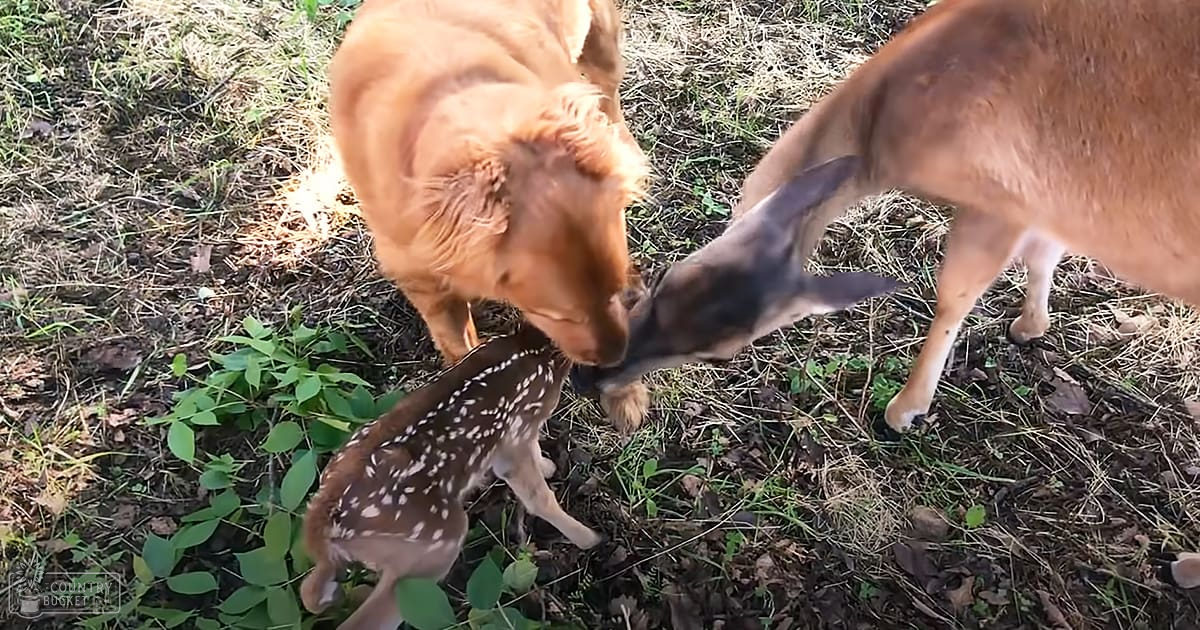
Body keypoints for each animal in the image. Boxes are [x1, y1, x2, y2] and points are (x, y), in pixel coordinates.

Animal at [299, 323, 601, 629]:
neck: (538, 349)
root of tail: (323, 519)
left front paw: (548, 466)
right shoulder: (518, 429)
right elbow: (539, 497)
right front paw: (589, 539)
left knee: (311, 591)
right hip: (437, 542)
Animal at [577, 0, 1200, 434]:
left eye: (722, 352)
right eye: (664, 280)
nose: (595, 374)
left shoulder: (1002, 201)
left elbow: (956, 293)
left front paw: (906, 409)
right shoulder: (1044, 209)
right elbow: (1043, 253)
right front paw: (1031, 326)